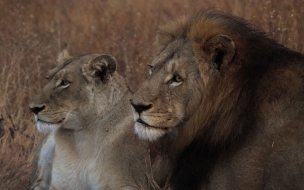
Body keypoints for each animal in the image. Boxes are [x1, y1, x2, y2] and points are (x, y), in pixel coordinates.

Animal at [29, 51, 170, 189]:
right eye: (48, 79)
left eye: (64, 82)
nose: (33, 108)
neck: (81, 139)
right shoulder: (61, 184)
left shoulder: (129, 184)